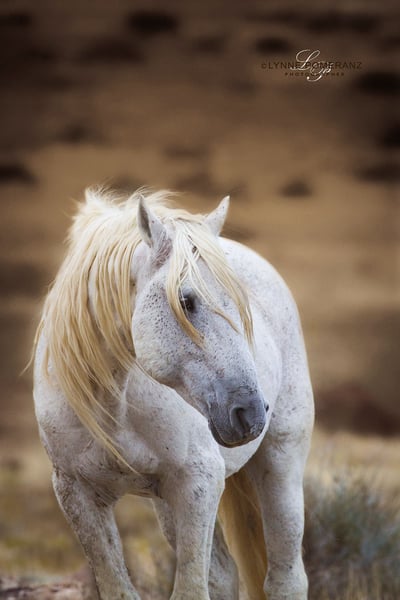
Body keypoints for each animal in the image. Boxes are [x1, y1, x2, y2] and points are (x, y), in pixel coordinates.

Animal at [32, 191, 314, 600]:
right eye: (185, 301)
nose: (250, 413)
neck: (114, 403)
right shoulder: (78, 494)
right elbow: (119, 587)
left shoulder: (200, 483)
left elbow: (191, 589)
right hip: (167, 504)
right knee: (225, 575)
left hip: (281, 462)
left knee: (286, 579)